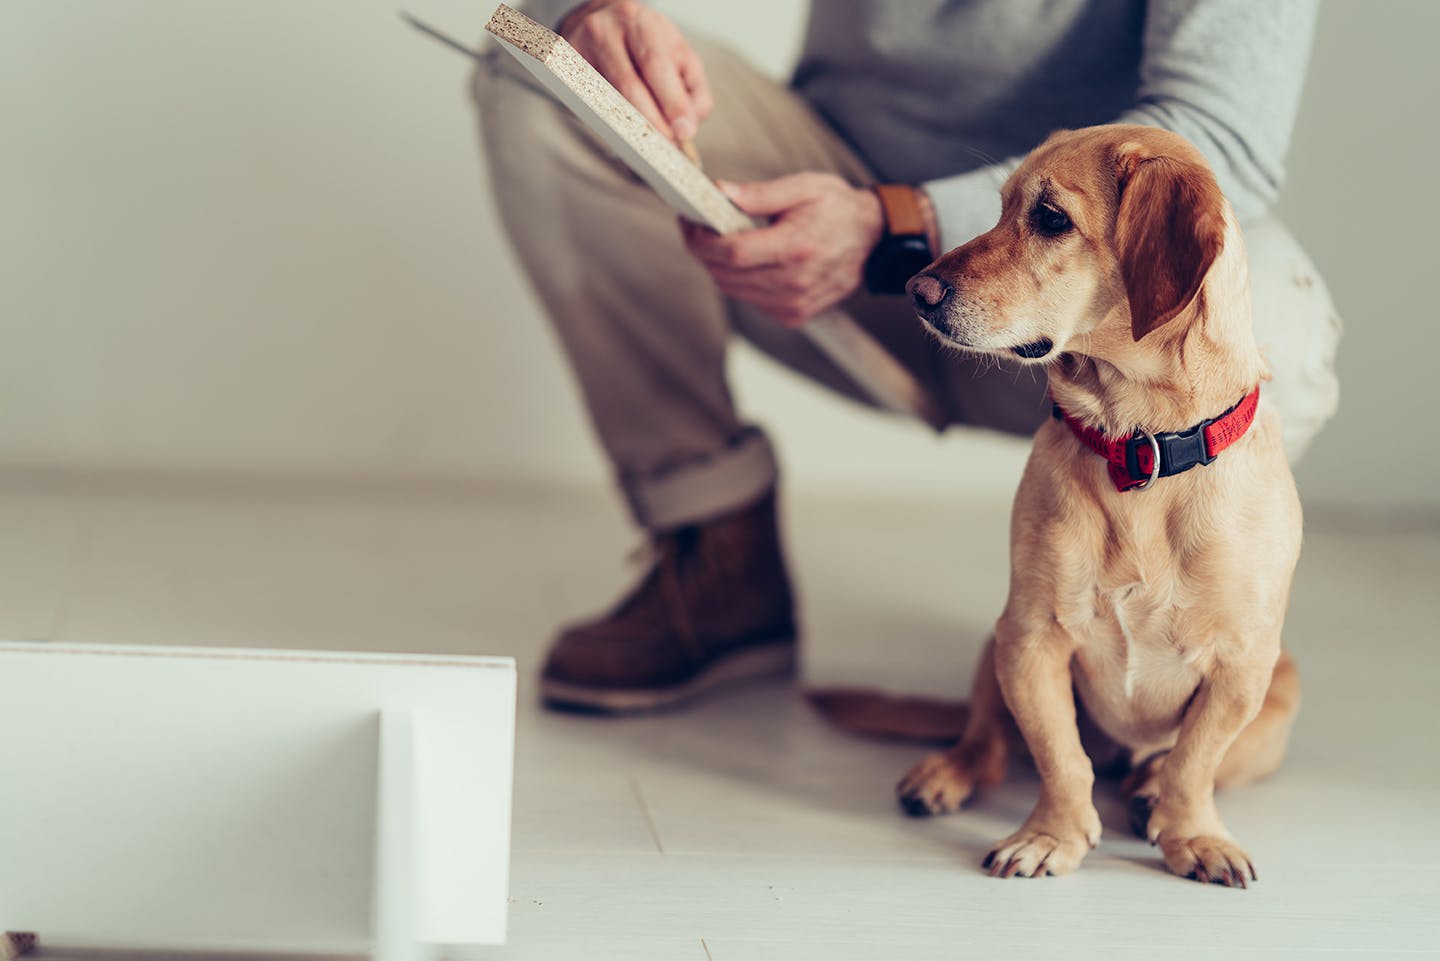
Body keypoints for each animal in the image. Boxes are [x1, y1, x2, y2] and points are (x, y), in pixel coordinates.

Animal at [892, 123, 1301, 893]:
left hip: (1280, 692)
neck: (1138, 446)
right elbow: (1060, 757)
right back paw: (946, 773)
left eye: (1051, 218)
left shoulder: (1241, 667)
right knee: (990, 743)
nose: (915, 288)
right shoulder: (1030, 639)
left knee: (1178, 765)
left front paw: (1193, 834)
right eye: (999, 207)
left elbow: (1195, 762)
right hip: (993, 650)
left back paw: (1144, 789)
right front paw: (1051, 835)